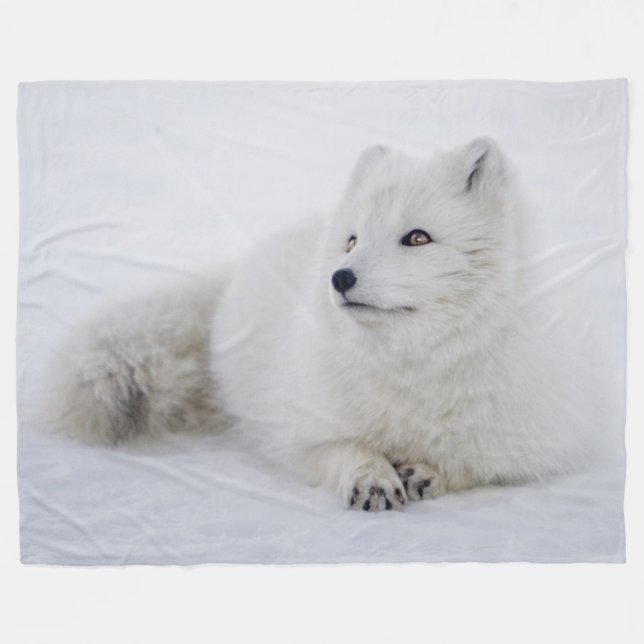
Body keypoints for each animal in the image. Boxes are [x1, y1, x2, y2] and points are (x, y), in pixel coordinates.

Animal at [47, 137, 598, 511]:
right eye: (352, 241)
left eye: (417, 238)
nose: (340, 277)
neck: (412, 369)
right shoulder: (298, 429)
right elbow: (343, 448)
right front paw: (371, 476)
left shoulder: (539, 437)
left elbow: (478, 463)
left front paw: (428, 472)